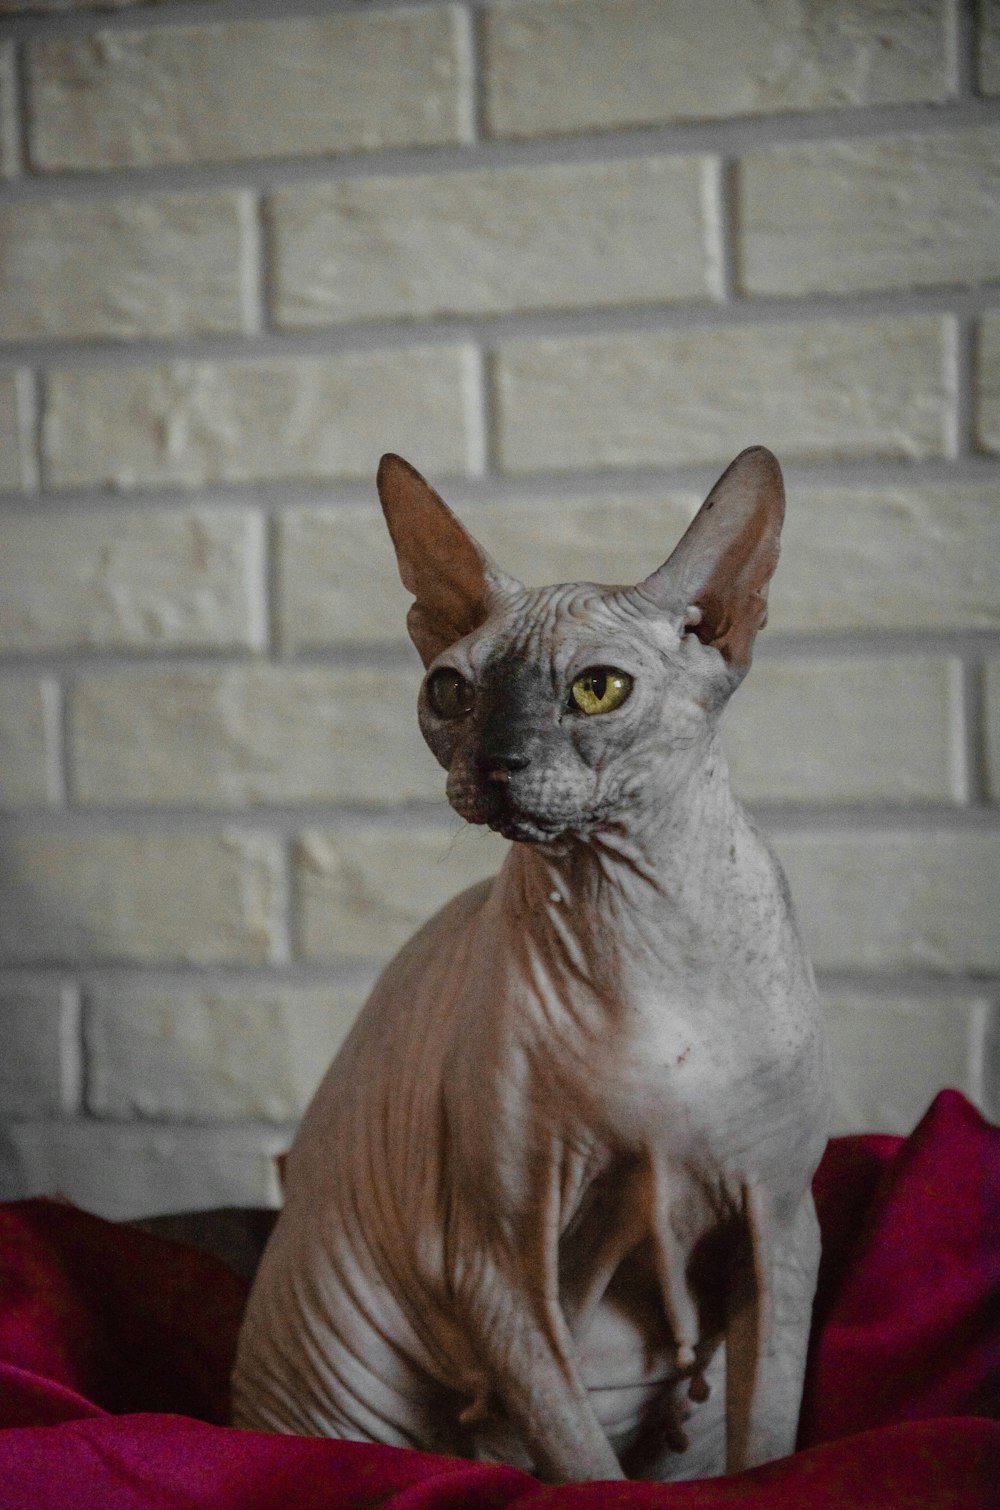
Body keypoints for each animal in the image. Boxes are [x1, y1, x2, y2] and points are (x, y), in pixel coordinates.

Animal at [231, 440, 833, 1479]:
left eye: (599, 689)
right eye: (451, 692)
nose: (496, 763)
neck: (640, 920)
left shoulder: (781, 1227)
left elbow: (766, 1450)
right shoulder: (496, 1264)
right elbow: (584, 1468)